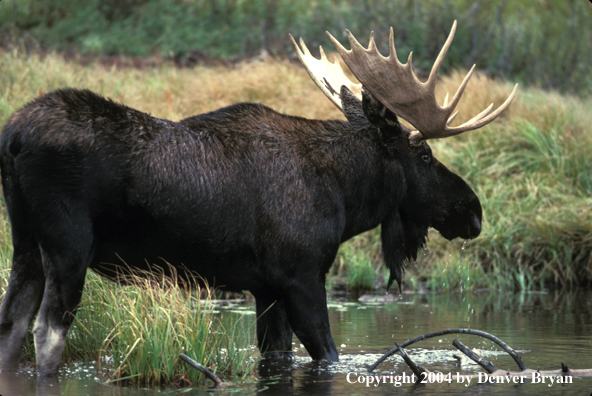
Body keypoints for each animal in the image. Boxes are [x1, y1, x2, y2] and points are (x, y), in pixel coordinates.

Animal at [0, 20, 512, 374]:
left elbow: (277, 357)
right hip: (68, 245)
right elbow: (327, 355)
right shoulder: (301, 275)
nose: (473, 211)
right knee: (47, 334)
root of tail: (13, 136)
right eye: (424, 154)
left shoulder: (264, 287)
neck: (348, 199)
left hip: (26, 244)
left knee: (12, 326)